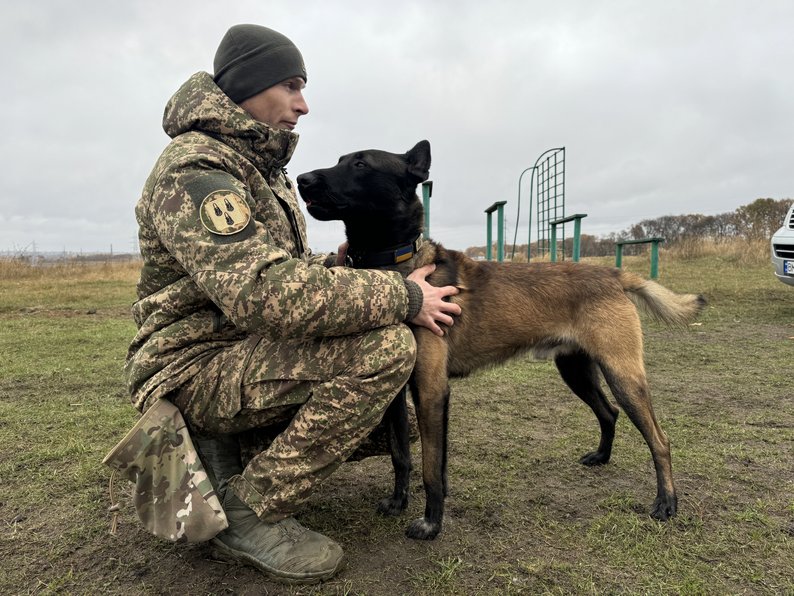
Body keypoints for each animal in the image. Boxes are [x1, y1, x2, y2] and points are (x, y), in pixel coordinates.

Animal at [296, 141, 704, 540]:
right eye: (341, 160)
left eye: (361, 164)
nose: (302, 179)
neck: (397, 266)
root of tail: (613, 274)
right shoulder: (398, 396)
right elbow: (403, 456)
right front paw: (399, 502)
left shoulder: (431, 390)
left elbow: (430, 467)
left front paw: (431, 524)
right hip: (576, 370)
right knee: (609, 412)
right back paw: (601, 458)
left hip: (622, 375)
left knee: (660, 440)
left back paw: (667, 502)